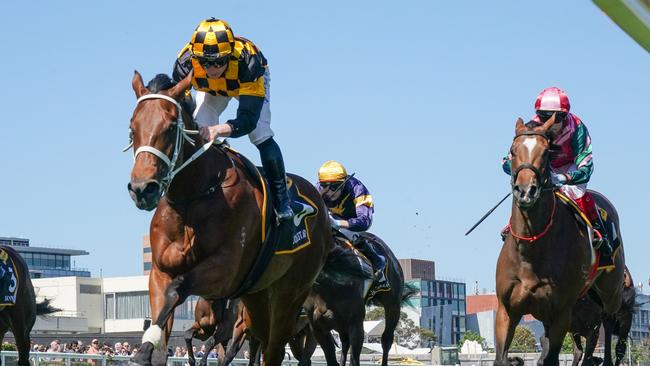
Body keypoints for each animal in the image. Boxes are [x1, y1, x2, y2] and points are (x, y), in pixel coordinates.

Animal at [126, 72, 332, 366]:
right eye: (132, 128)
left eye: (170, 127)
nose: (143, 189)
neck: (195, 195)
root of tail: (322, 210)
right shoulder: (160, 270)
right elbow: (163, 309)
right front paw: (147, 349)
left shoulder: (226, 271)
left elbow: (177, 289)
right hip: (257, 296)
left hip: (290, 294)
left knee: (275, 348)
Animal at [304, 233, 416, 366]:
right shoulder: (317, 327)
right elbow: (331, 357)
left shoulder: (355, 323)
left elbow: (354, 359)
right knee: (345, 342)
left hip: (393, 305)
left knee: (386, 339)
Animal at [496, 116, 624, 366]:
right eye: (512, 151)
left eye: (546, 152)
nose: (525, 191)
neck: (531, 251)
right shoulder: (507, 310)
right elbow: (502, 357)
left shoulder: (561, 313)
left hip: (611, 292)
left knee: (608, 321)